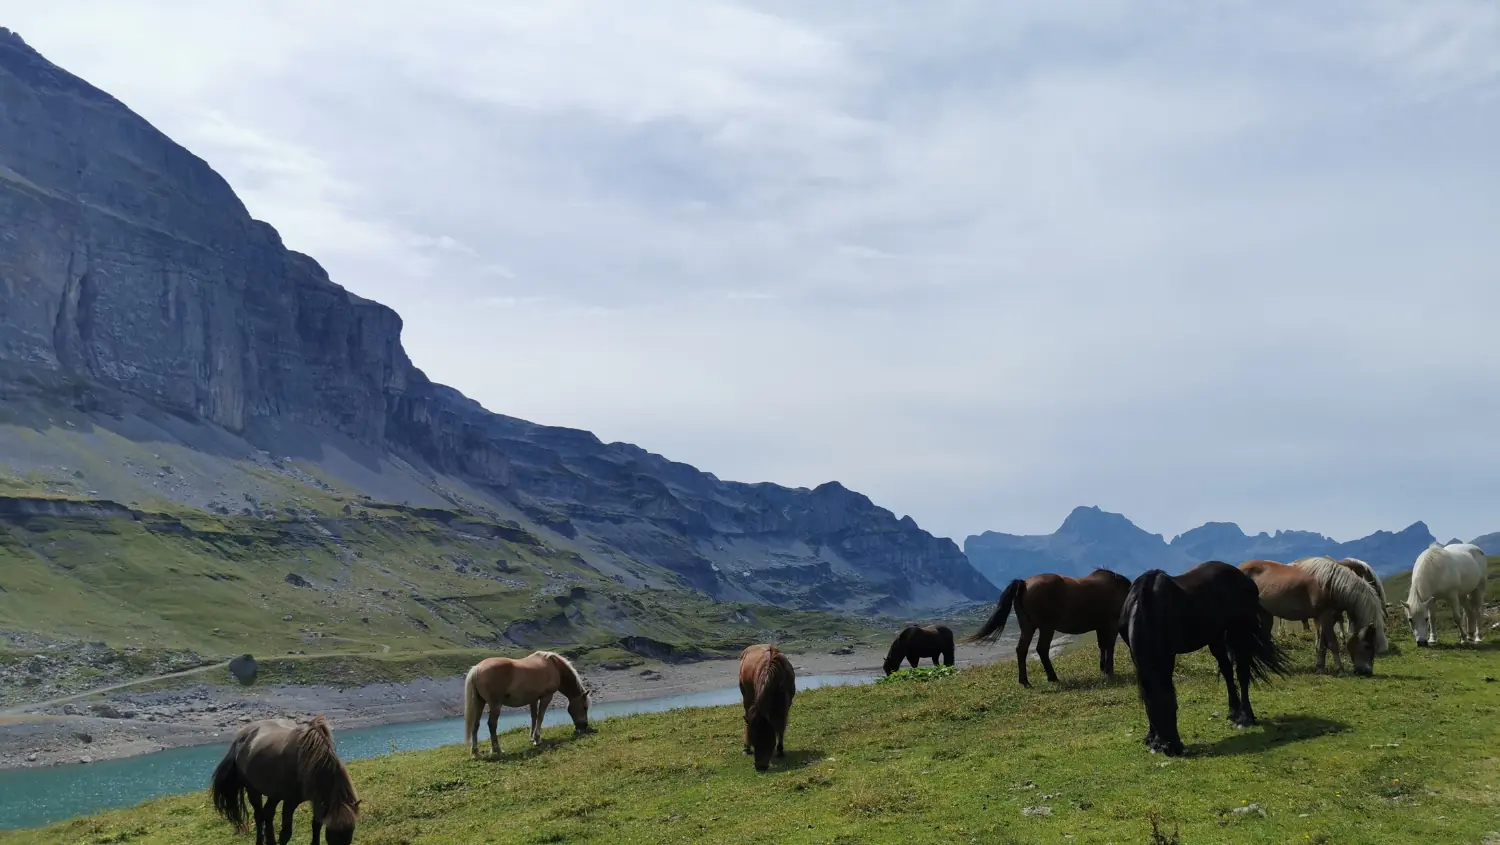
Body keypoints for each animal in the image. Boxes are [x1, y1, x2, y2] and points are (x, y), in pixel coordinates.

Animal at [210, 715, 360, 845]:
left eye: (350, 832)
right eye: (333, 835)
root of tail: (240, 738)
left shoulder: (318, 799)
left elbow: (316, 825)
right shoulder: (290, 802)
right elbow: (286, 833)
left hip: (274, 794)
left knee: (268, 814)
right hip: (253, 789)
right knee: (259, 815)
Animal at [463, 650, 594, 758]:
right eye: (585, 707)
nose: (584, 727)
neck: (554, 666)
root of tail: (477, 668)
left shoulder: (533, 699)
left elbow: (533, 717)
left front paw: (532, 737)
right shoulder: (547, 697)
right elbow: (540, 716)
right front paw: (537, 739)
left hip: (480, 702)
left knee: (475, 724)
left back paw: (475, 752)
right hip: (495, 705)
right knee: (492, 724)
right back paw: (497, 750)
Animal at [739, 643, 796, 772]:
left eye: (768, 739)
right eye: (754, 740)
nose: (760, 766)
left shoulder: (785, 707)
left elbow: (781, 727)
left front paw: (780, 750)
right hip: (746, 696)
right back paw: (745, 748)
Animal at [962, 568, 1131, 687]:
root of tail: (1024, 583)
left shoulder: (1101, 626)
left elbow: (1102, 646)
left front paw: (1104, 669)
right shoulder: (1111, 625)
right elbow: (1109, 646)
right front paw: (1110, 672)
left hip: (1028, 627)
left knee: (1022, 649)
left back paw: (1025, 681)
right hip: (1046, 628)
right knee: (1042, 649)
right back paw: (1052, 677)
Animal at [1119, 561, 1290, 757]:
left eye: (1174, 707)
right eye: (1153, 712)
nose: (1173, 749)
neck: (1146, 605)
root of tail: (1246, 579)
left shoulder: (1168, 655)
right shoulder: (1137, 657)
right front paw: (1150, 737)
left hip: (1239, 633)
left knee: (1242, 672)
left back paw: (1245, 717)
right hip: (1215, 638)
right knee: (1227, 671)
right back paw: (1233, 713)